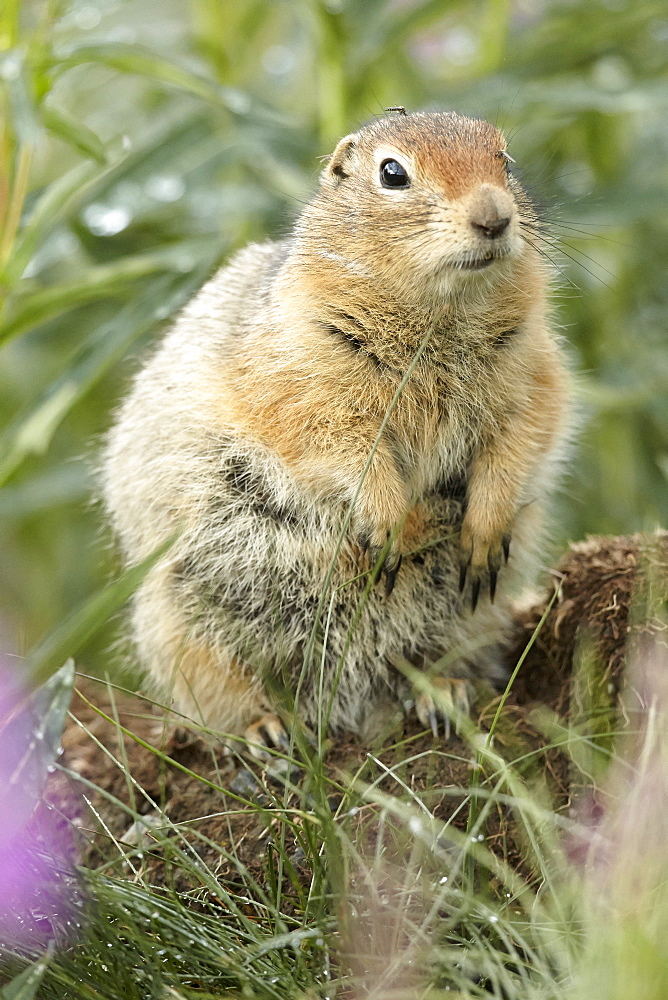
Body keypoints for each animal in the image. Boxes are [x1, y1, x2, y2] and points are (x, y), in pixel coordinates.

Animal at [102, 107, 572, 752]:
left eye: (504, 157)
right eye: (392, 173)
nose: (495, 217)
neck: (438, 319)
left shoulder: (534, 370)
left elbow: (523, 438)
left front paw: (481, 529)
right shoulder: (299, 382)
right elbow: (340, 449)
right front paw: (391, 525)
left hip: (468, 617)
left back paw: (441, 692)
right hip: (179, 621)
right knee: (218, 696)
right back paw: (267, 730)